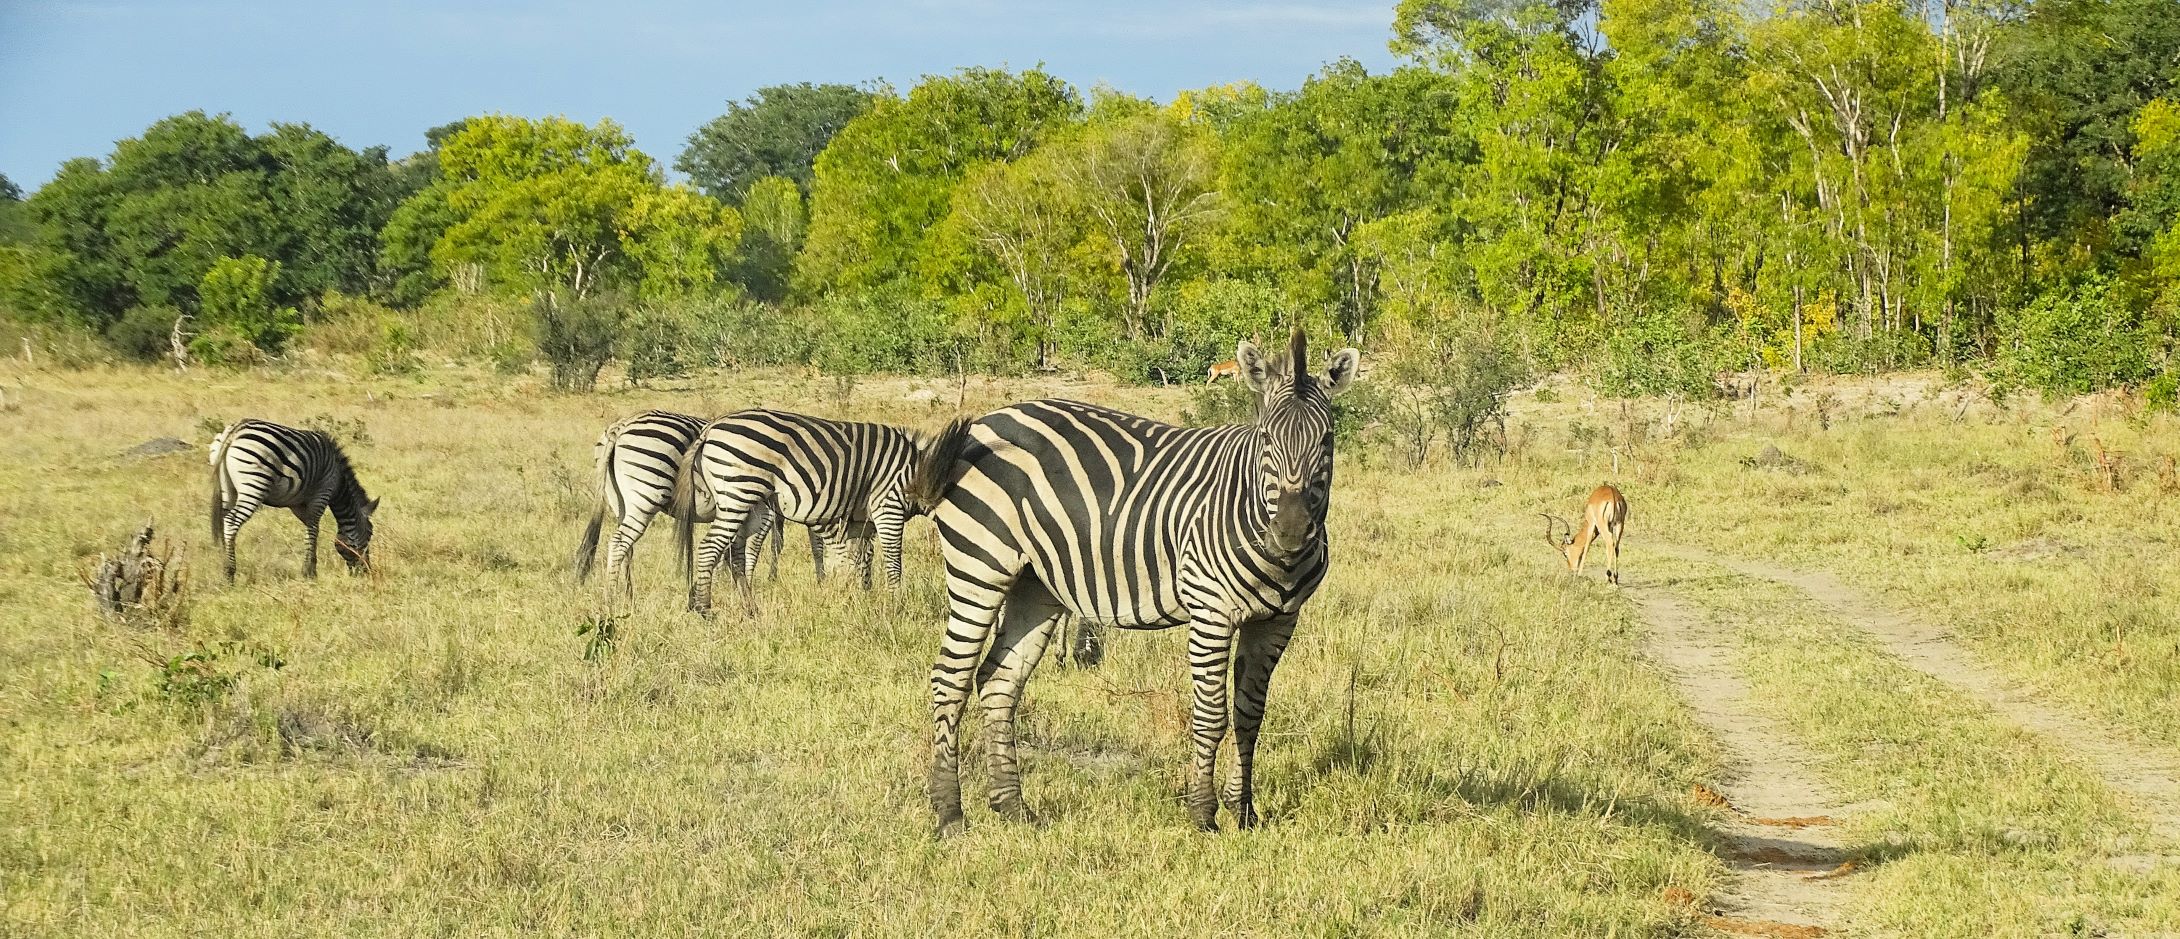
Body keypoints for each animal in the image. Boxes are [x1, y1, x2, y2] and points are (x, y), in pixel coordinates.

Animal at [207, 418, 379, 579]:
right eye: (370, 534)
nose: (366, 572)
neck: (339, 481)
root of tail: (236, 430)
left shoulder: (298, 505)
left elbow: (310, 529)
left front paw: (310, 568)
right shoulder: (322, 493)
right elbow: (314, 529)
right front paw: (309, 572)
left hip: (228, 488)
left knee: (223, 521)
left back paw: (224, 562)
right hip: (255, 483)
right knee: (231, 521)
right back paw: (229, 572)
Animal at [575, 411, 815, 596]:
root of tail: (622, 425)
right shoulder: (760, 510)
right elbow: (758, 547)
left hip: (619, 501)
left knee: (626, 547)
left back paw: (627, 596)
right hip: (646, 493)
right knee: (620, 543)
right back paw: (612, 598)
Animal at [671, 407, 928, 614]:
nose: (867, 594)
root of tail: (710, 429)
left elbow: (852, 554)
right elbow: (861, 555)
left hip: (742, 500)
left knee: (734, 553)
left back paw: (747, 607)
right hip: (738, 494)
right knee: (711, 547)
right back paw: (704, 608)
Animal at [906, 333, 1351, 836]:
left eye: (1327, 439)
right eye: (1266, 439)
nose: (1291, 532)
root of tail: (983, 422)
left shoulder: (1278, 621)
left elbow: (1249, 714)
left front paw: (1244, 812)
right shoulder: (1211, 611)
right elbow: (1211, 716)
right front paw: (1203, 814)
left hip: (1034, 584)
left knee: (999, 681)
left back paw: (1013, 808)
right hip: (980, 565)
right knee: (950, 679)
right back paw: (950, 814)